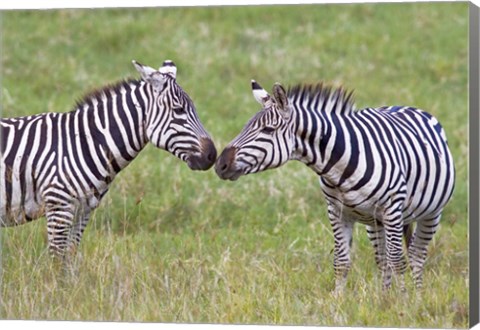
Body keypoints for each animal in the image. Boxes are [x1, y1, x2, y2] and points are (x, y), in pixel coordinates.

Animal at [0, 59, 217, 260]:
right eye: (179, 110)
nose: (212, 155)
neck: (85, 142)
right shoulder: (58, 205)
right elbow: (58, 259)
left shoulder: (83, 210)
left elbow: (70, 256)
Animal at [216, 81, 456, 292]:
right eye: (245, 126)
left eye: (267, 130)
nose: (220, 165)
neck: (341, 166)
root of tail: (404, 106)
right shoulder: (337, 211)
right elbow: (341, 262)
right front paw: (337, 303)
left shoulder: (392, 208)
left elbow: (398, 261)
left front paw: (403, 304)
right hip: (375, 222)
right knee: (382, 259)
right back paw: (385, 298)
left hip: (430, 213)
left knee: (415, 255)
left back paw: (416, 298)